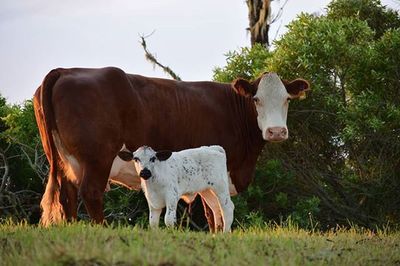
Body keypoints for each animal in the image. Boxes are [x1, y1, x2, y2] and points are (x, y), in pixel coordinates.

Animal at [34, 66, 310, 229]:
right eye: (256, 99)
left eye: (287, 99)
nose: (276, 131)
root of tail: (64, 71)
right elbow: (213, 211)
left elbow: (213, 211)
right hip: (97, 159)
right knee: (90, 192)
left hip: (64, 161)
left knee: (67, 195)